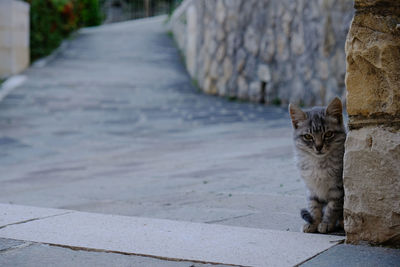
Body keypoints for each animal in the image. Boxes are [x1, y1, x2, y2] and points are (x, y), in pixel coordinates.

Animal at [288, 97, 346, 233]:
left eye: (328, 134)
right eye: (308, 136)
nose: (319, 147)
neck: (319, 164)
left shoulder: (338, 190)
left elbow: (332, 208)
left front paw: (326, 223)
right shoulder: (311, 189)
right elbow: (314, 207)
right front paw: (313, 223)